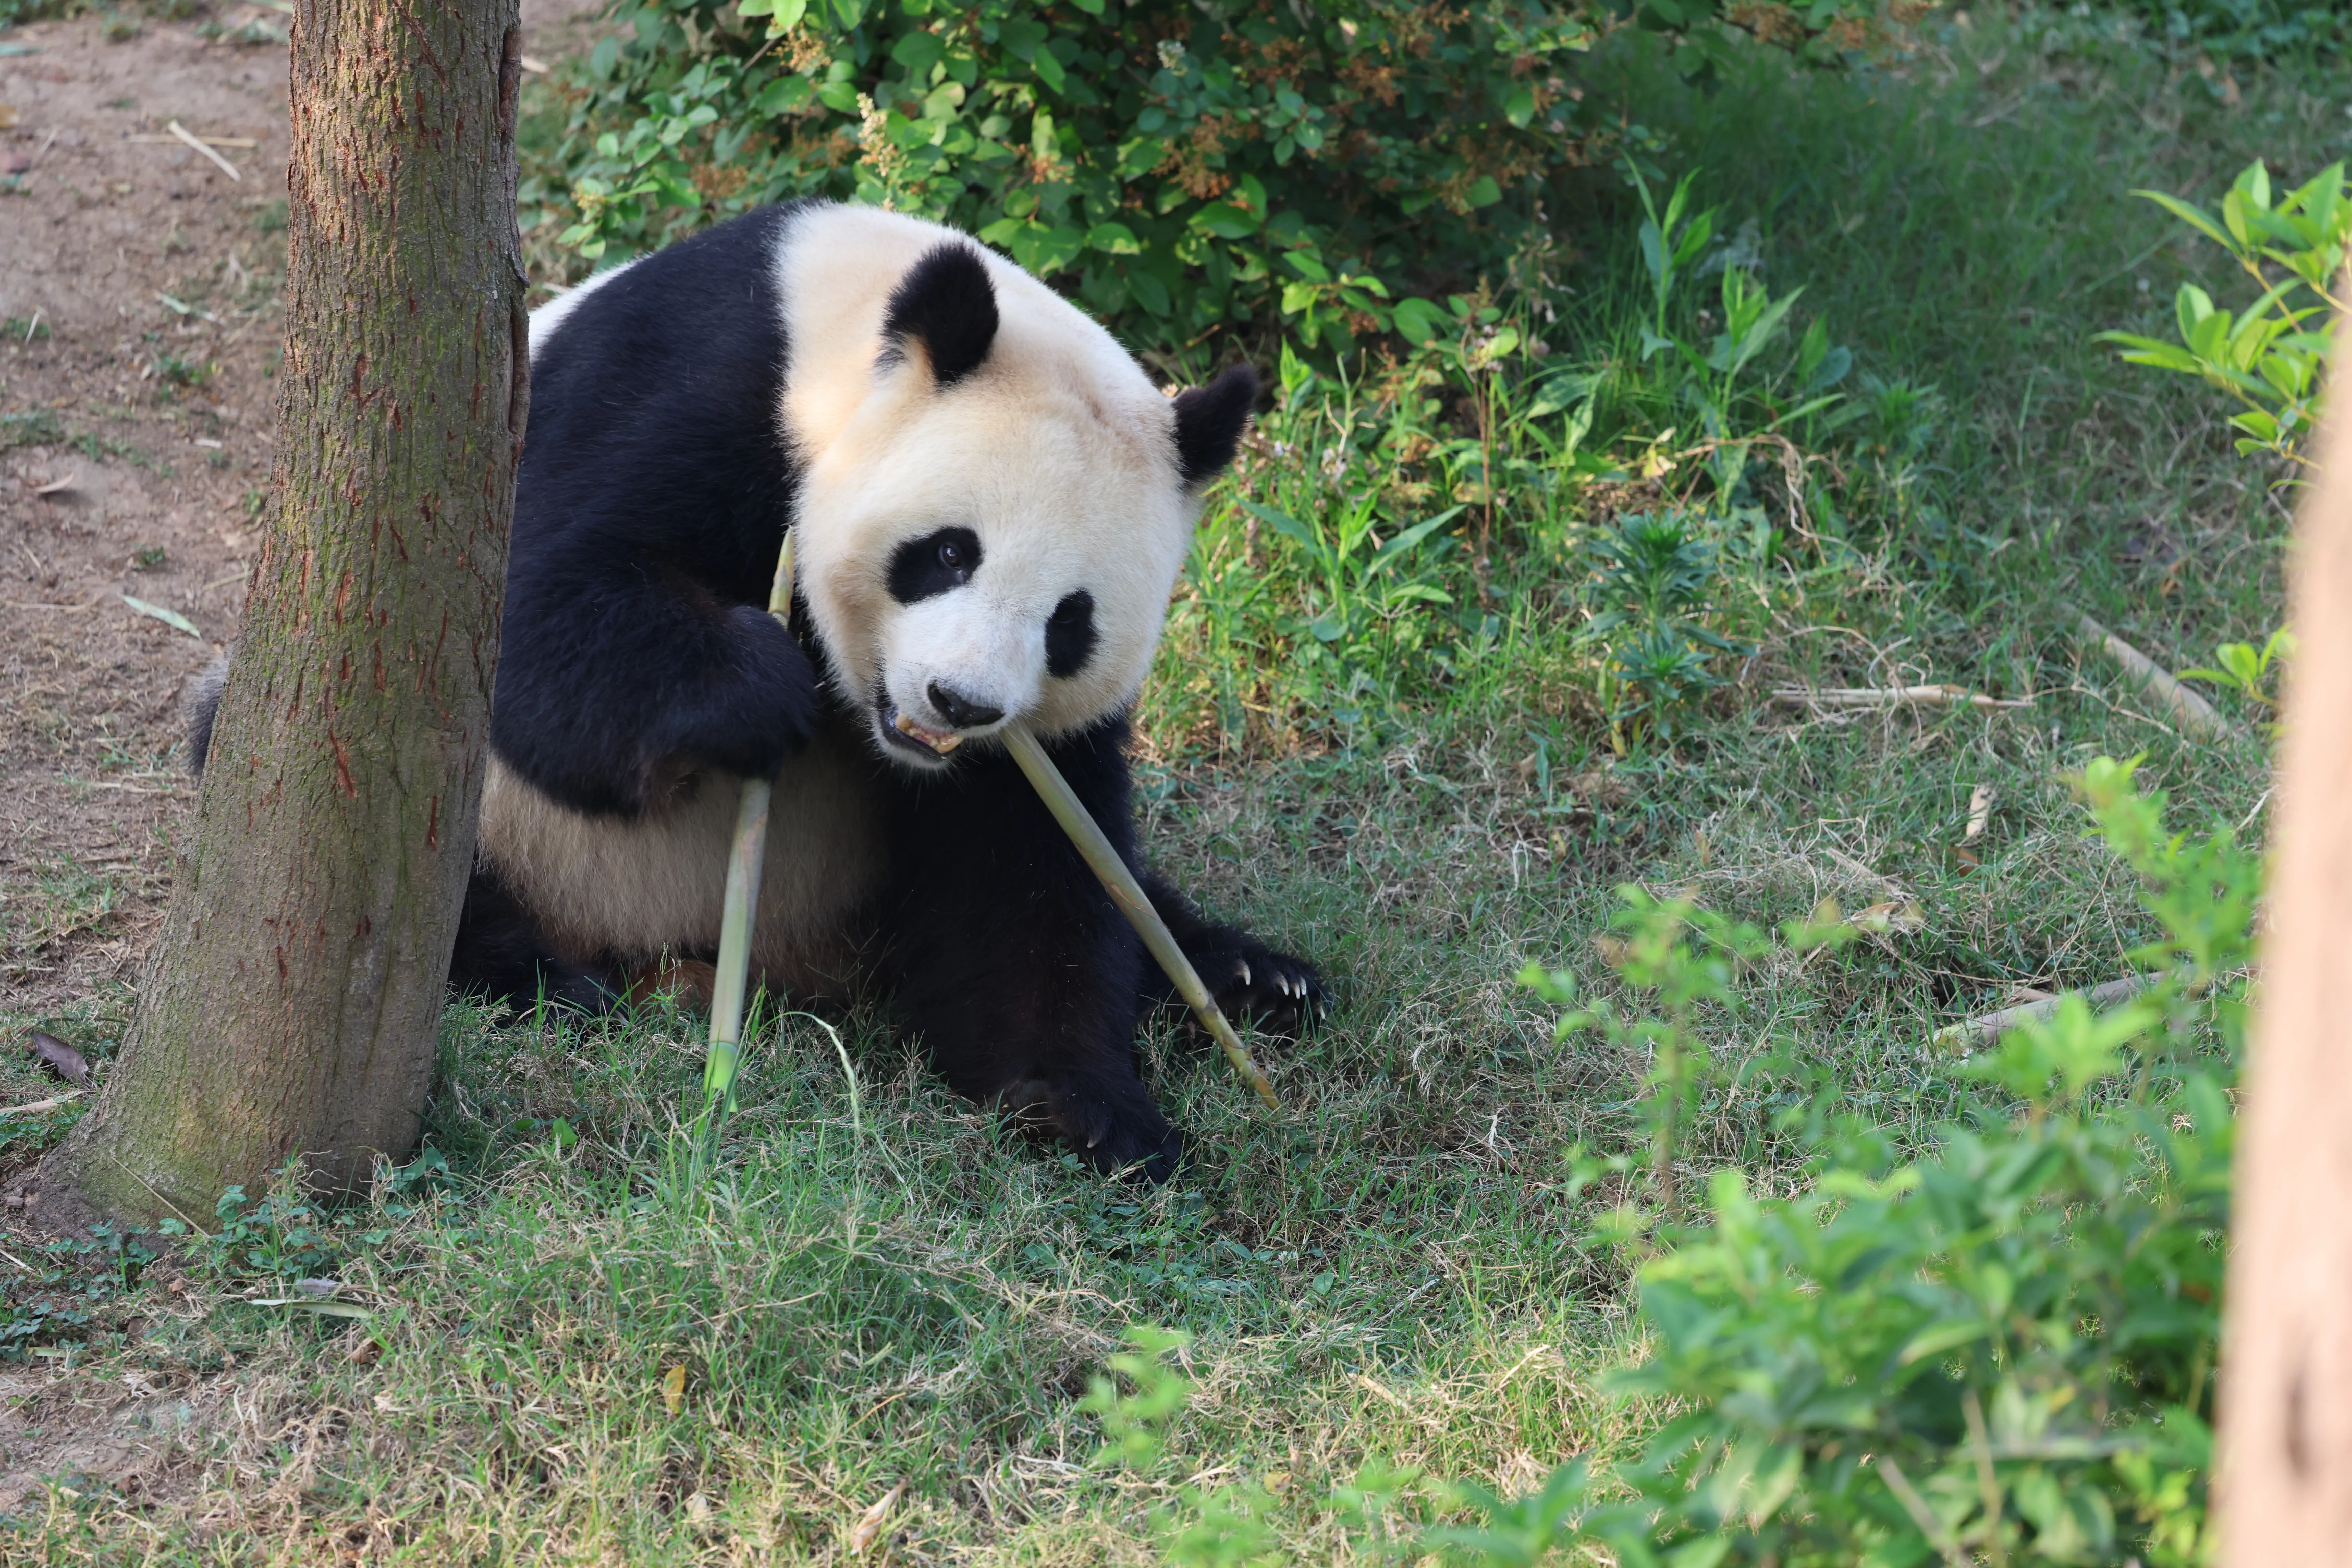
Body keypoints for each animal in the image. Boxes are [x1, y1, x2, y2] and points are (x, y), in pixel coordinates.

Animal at [191, 200, 1323, 1181]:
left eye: (1071, 620)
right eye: (947, 553)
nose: (957, 704)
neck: (845, 334)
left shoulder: (1026, 749)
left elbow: (1034, 865)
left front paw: (1088, 1110)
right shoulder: (684, 384)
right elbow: (526, 610)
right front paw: (755, 689)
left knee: (1132, 895)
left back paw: (1253, 975)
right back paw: (541, 974)